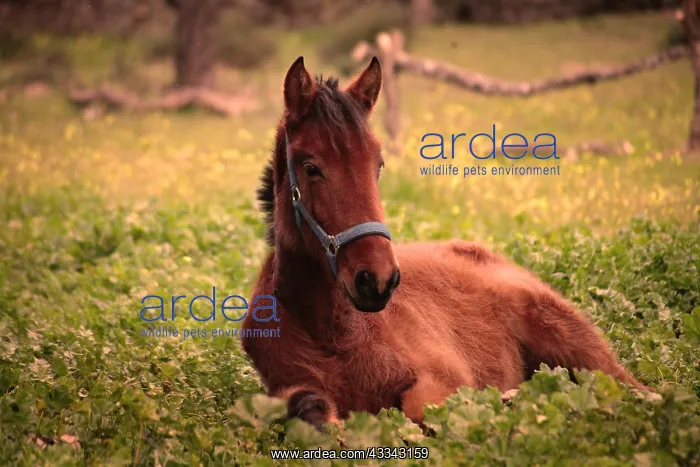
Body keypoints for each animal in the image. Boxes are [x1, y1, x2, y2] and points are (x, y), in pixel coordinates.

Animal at [241, 56, 649, 431]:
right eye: (311, 167)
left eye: (378, 165)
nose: (376, 280)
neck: (334, 335)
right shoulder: (289, 387)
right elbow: (309, 409)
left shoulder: (443, 376)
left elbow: (423, 409)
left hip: (578, 346)